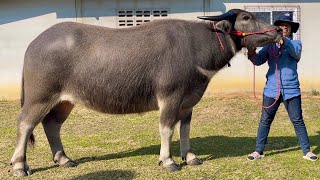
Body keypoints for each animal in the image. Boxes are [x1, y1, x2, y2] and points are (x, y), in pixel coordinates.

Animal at [10, 8, 282, 176]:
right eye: (246, 17)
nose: (278, 30)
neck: (196, 47)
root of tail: (34, 44)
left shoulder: (188, 102)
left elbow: (185, 130)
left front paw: (190, 157)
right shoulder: (170, 97)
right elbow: (167, 129)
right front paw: (169, 161)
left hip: (64, 101)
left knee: (51, 124)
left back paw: (64, 159)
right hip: (39, 97)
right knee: (25, 123)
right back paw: (19, 166)